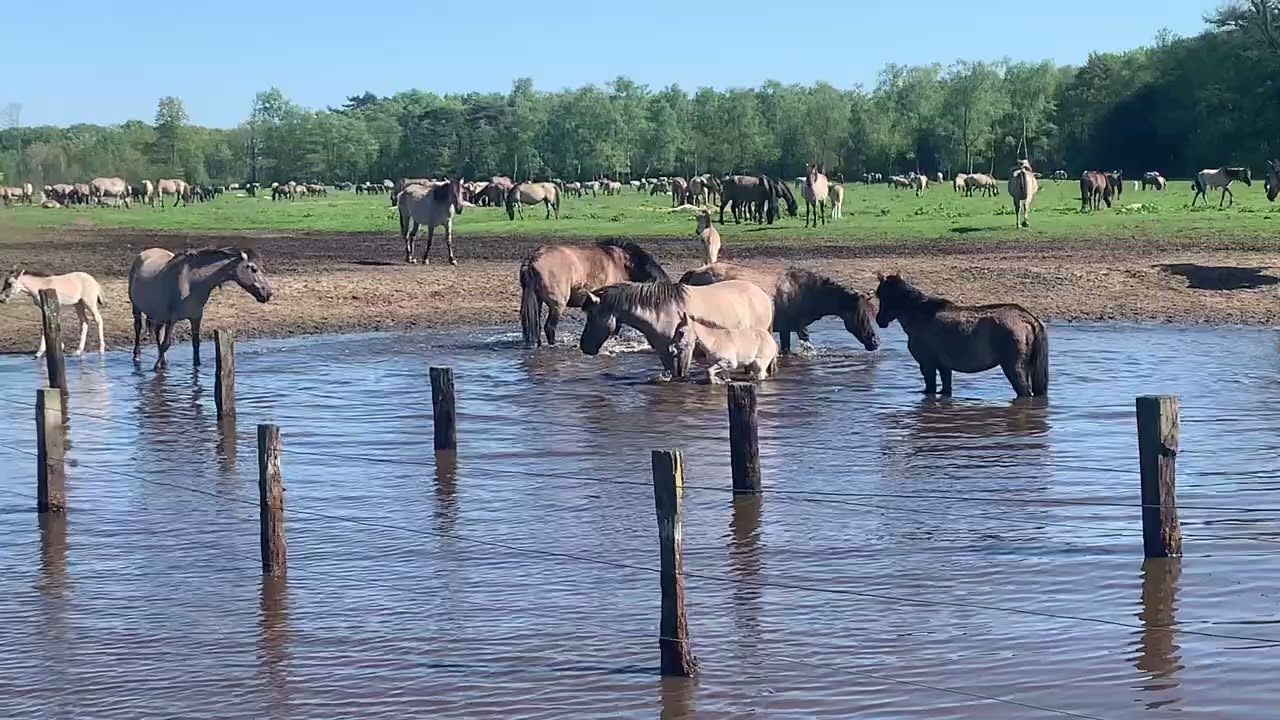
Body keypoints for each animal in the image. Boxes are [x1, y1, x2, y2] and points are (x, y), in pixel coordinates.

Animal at [128, 247, 273, 371]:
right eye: (254, 269)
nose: (269, 293)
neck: (190, 283)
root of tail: (143, 254)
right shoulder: (172, 319)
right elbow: (166, 343)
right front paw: (156, 366)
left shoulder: (196, 317)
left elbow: (196, 344)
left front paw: (196, 366)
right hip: (137, 308)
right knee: (138, 328)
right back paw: (137, 356)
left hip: (159, 314)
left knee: (158, 332)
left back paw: (163, 360)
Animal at [519, 239, 668, 346]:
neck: (622, 264)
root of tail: (533, 260)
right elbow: (617, 326)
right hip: (557, 305)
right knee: (549, 327)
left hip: (536, 301)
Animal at [579, 280, 774, 377]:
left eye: (592, 315)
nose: (585, 347)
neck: (662, 313)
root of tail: (762, 294)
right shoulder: (662, 350)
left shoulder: (685, 349)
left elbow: (681, 374)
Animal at [678, 263, 878, 354]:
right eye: (860, 313)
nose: (875, 342)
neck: (807, 291)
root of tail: (695, 271)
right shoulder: (799, 327)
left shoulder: (785, 329)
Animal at [874, 273, 1048, 398]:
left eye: (882, 295)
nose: (879, 320)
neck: (920, 314)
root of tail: (1027, 318)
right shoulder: (944, 367)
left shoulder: (927, 364)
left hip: (1014, 368)